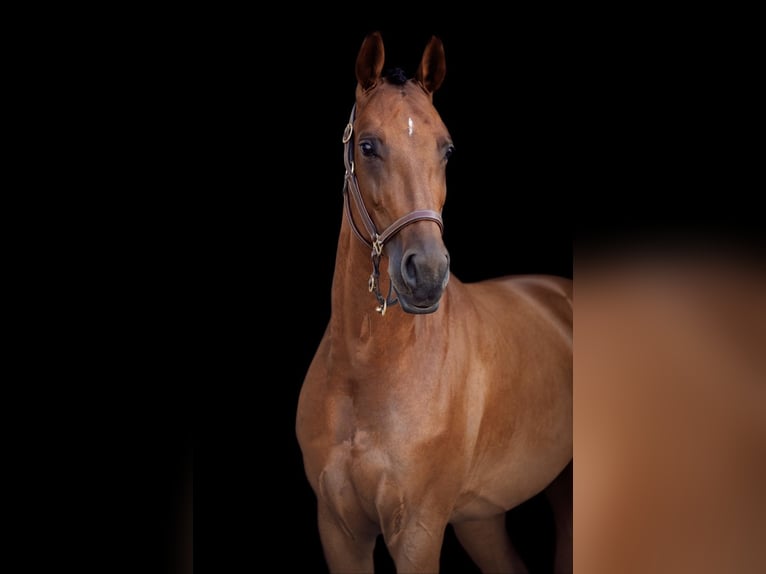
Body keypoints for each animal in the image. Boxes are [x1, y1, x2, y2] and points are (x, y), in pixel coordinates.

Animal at [296, 32, 572, 574]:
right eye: (367, 145)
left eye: (447, 148)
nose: (426, 273)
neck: (366, 371)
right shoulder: (338, 530)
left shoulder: (418, 531)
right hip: (484, 518)